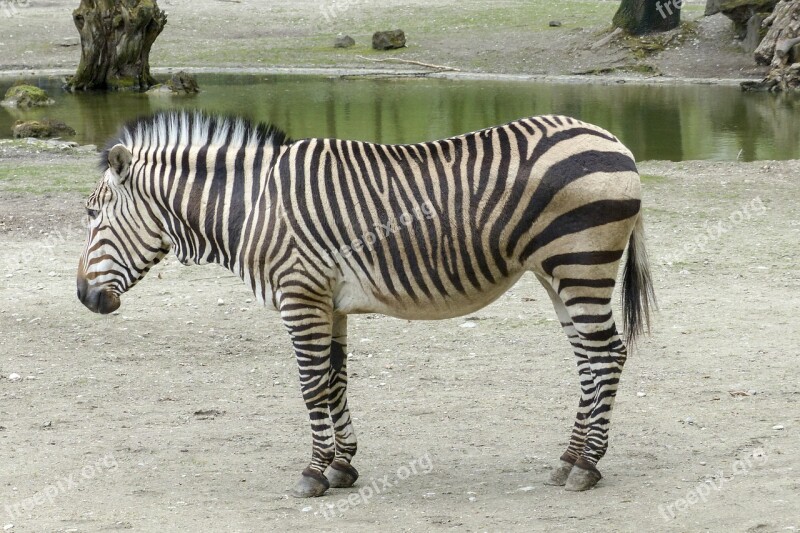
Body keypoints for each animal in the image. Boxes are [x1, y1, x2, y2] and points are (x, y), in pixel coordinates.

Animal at [78, 110, 656, 496]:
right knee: (588, 360)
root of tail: (613, 138)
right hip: (556, 273)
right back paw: (570, 458)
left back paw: (587, 467)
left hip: (580, 263)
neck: (255, 206)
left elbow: (311, 385)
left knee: (608, 355)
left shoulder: (300, 295)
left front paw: (313, 473)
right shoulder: (328, 302)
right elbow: (335, 381)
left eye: (91, 214)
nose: (83, 297)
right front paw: (342, 467)